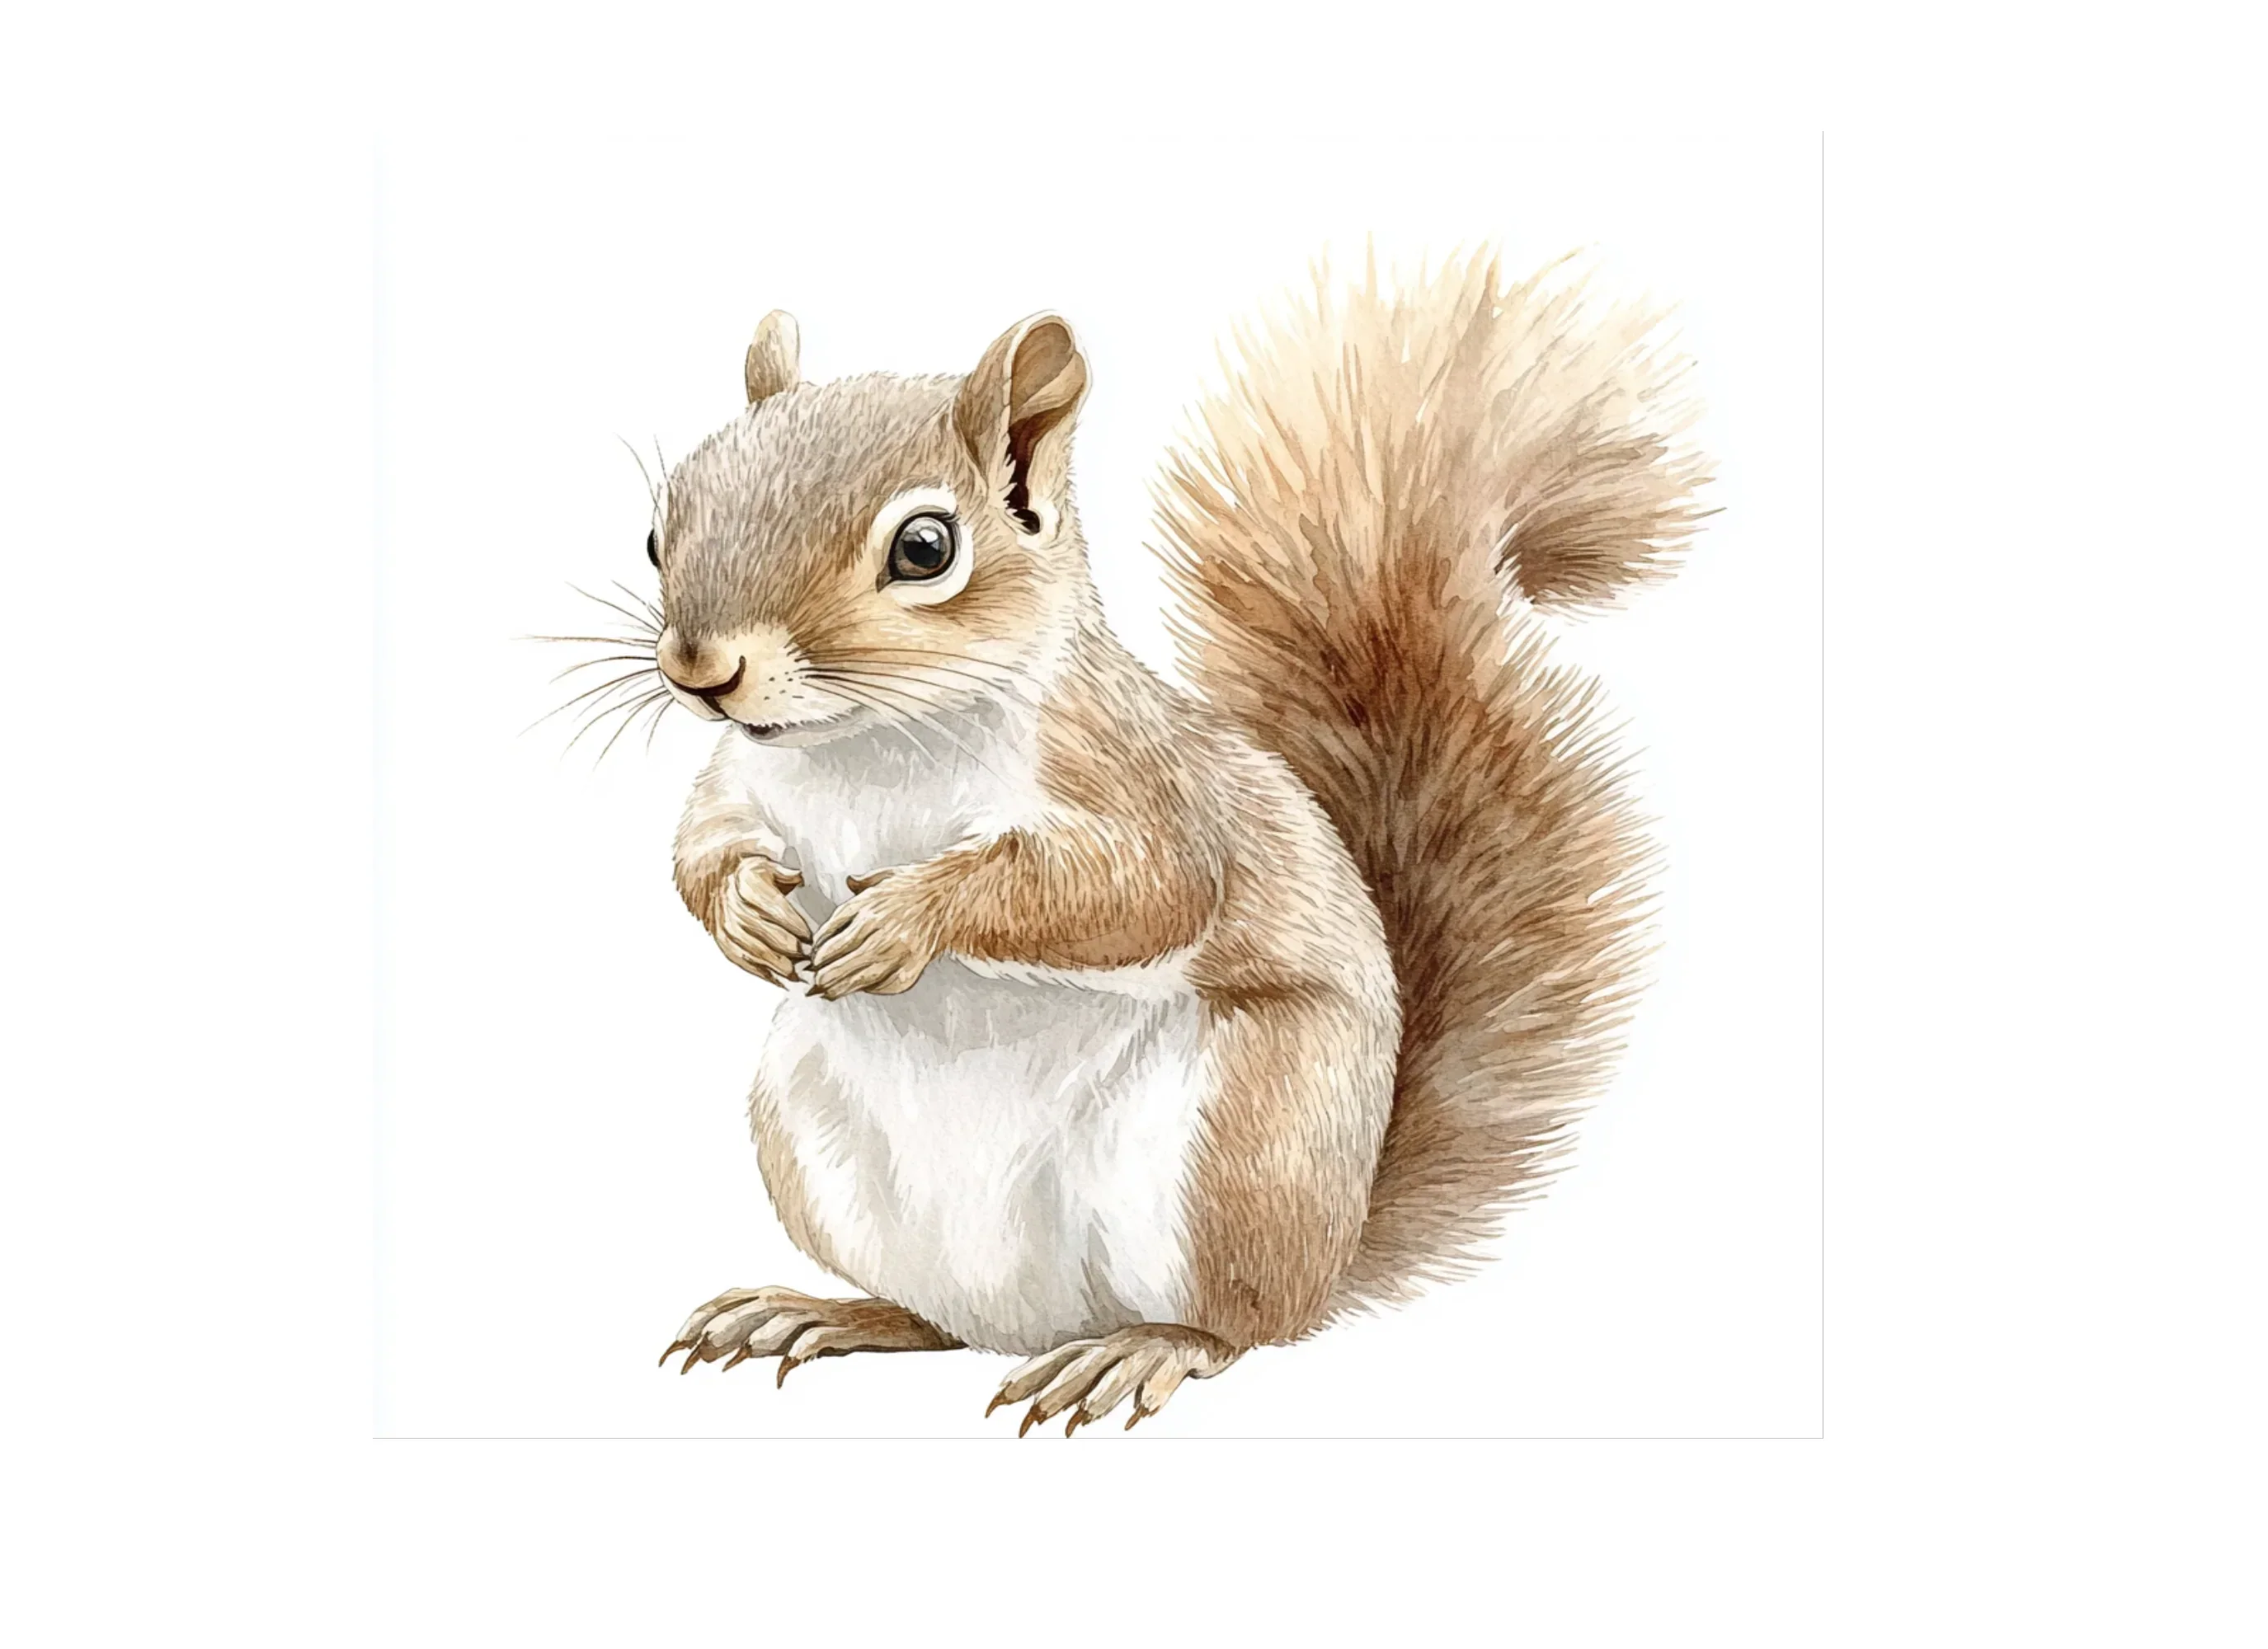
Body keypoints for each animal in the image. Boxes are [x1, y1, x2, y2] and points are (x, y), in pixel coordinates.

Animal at [636, 252, 1711, 1433]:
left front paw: (909, 914)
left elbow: (1139, 890)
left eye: (925, 548)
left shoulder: (1139, 780)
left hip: (1239, 1151)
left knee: (1235, 1326)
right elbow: (699, 845)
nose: (701, 668)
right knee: (936, 1320)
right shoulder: (738, 778)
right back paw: (822, 1311)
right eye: (658, 528)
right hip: (811, 1139)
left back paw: (1139, 1349)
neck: (865, 743)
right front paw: (744, 910)